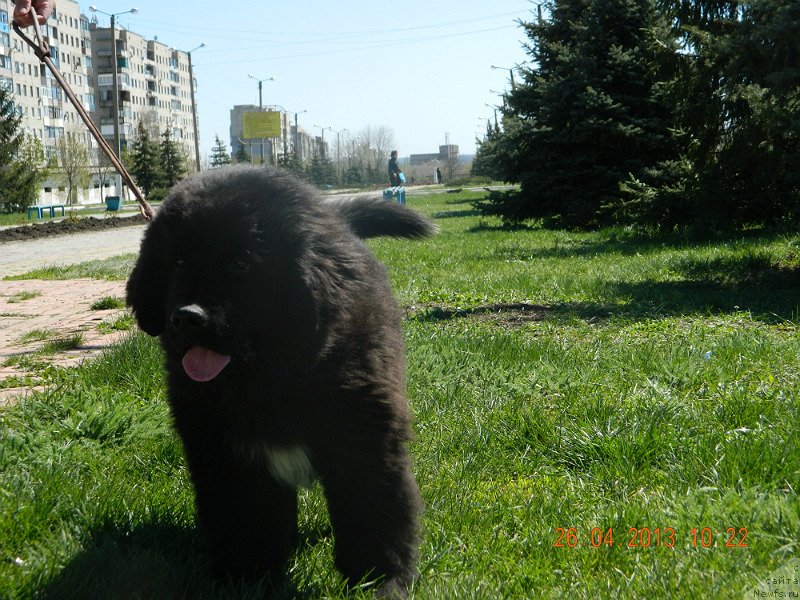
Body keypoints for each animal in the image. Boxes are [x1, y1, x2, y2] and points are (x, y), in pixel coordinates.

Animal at [126, 163, 434, 596]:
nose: (187, 317)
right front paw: (246, 579)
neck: (274, 380)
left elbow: (374, 512)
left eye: (242, 263)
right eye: (179, 262)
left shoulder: (363, 439)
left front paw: (380, 582)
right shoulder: (229, 454)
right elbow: (245, 519)